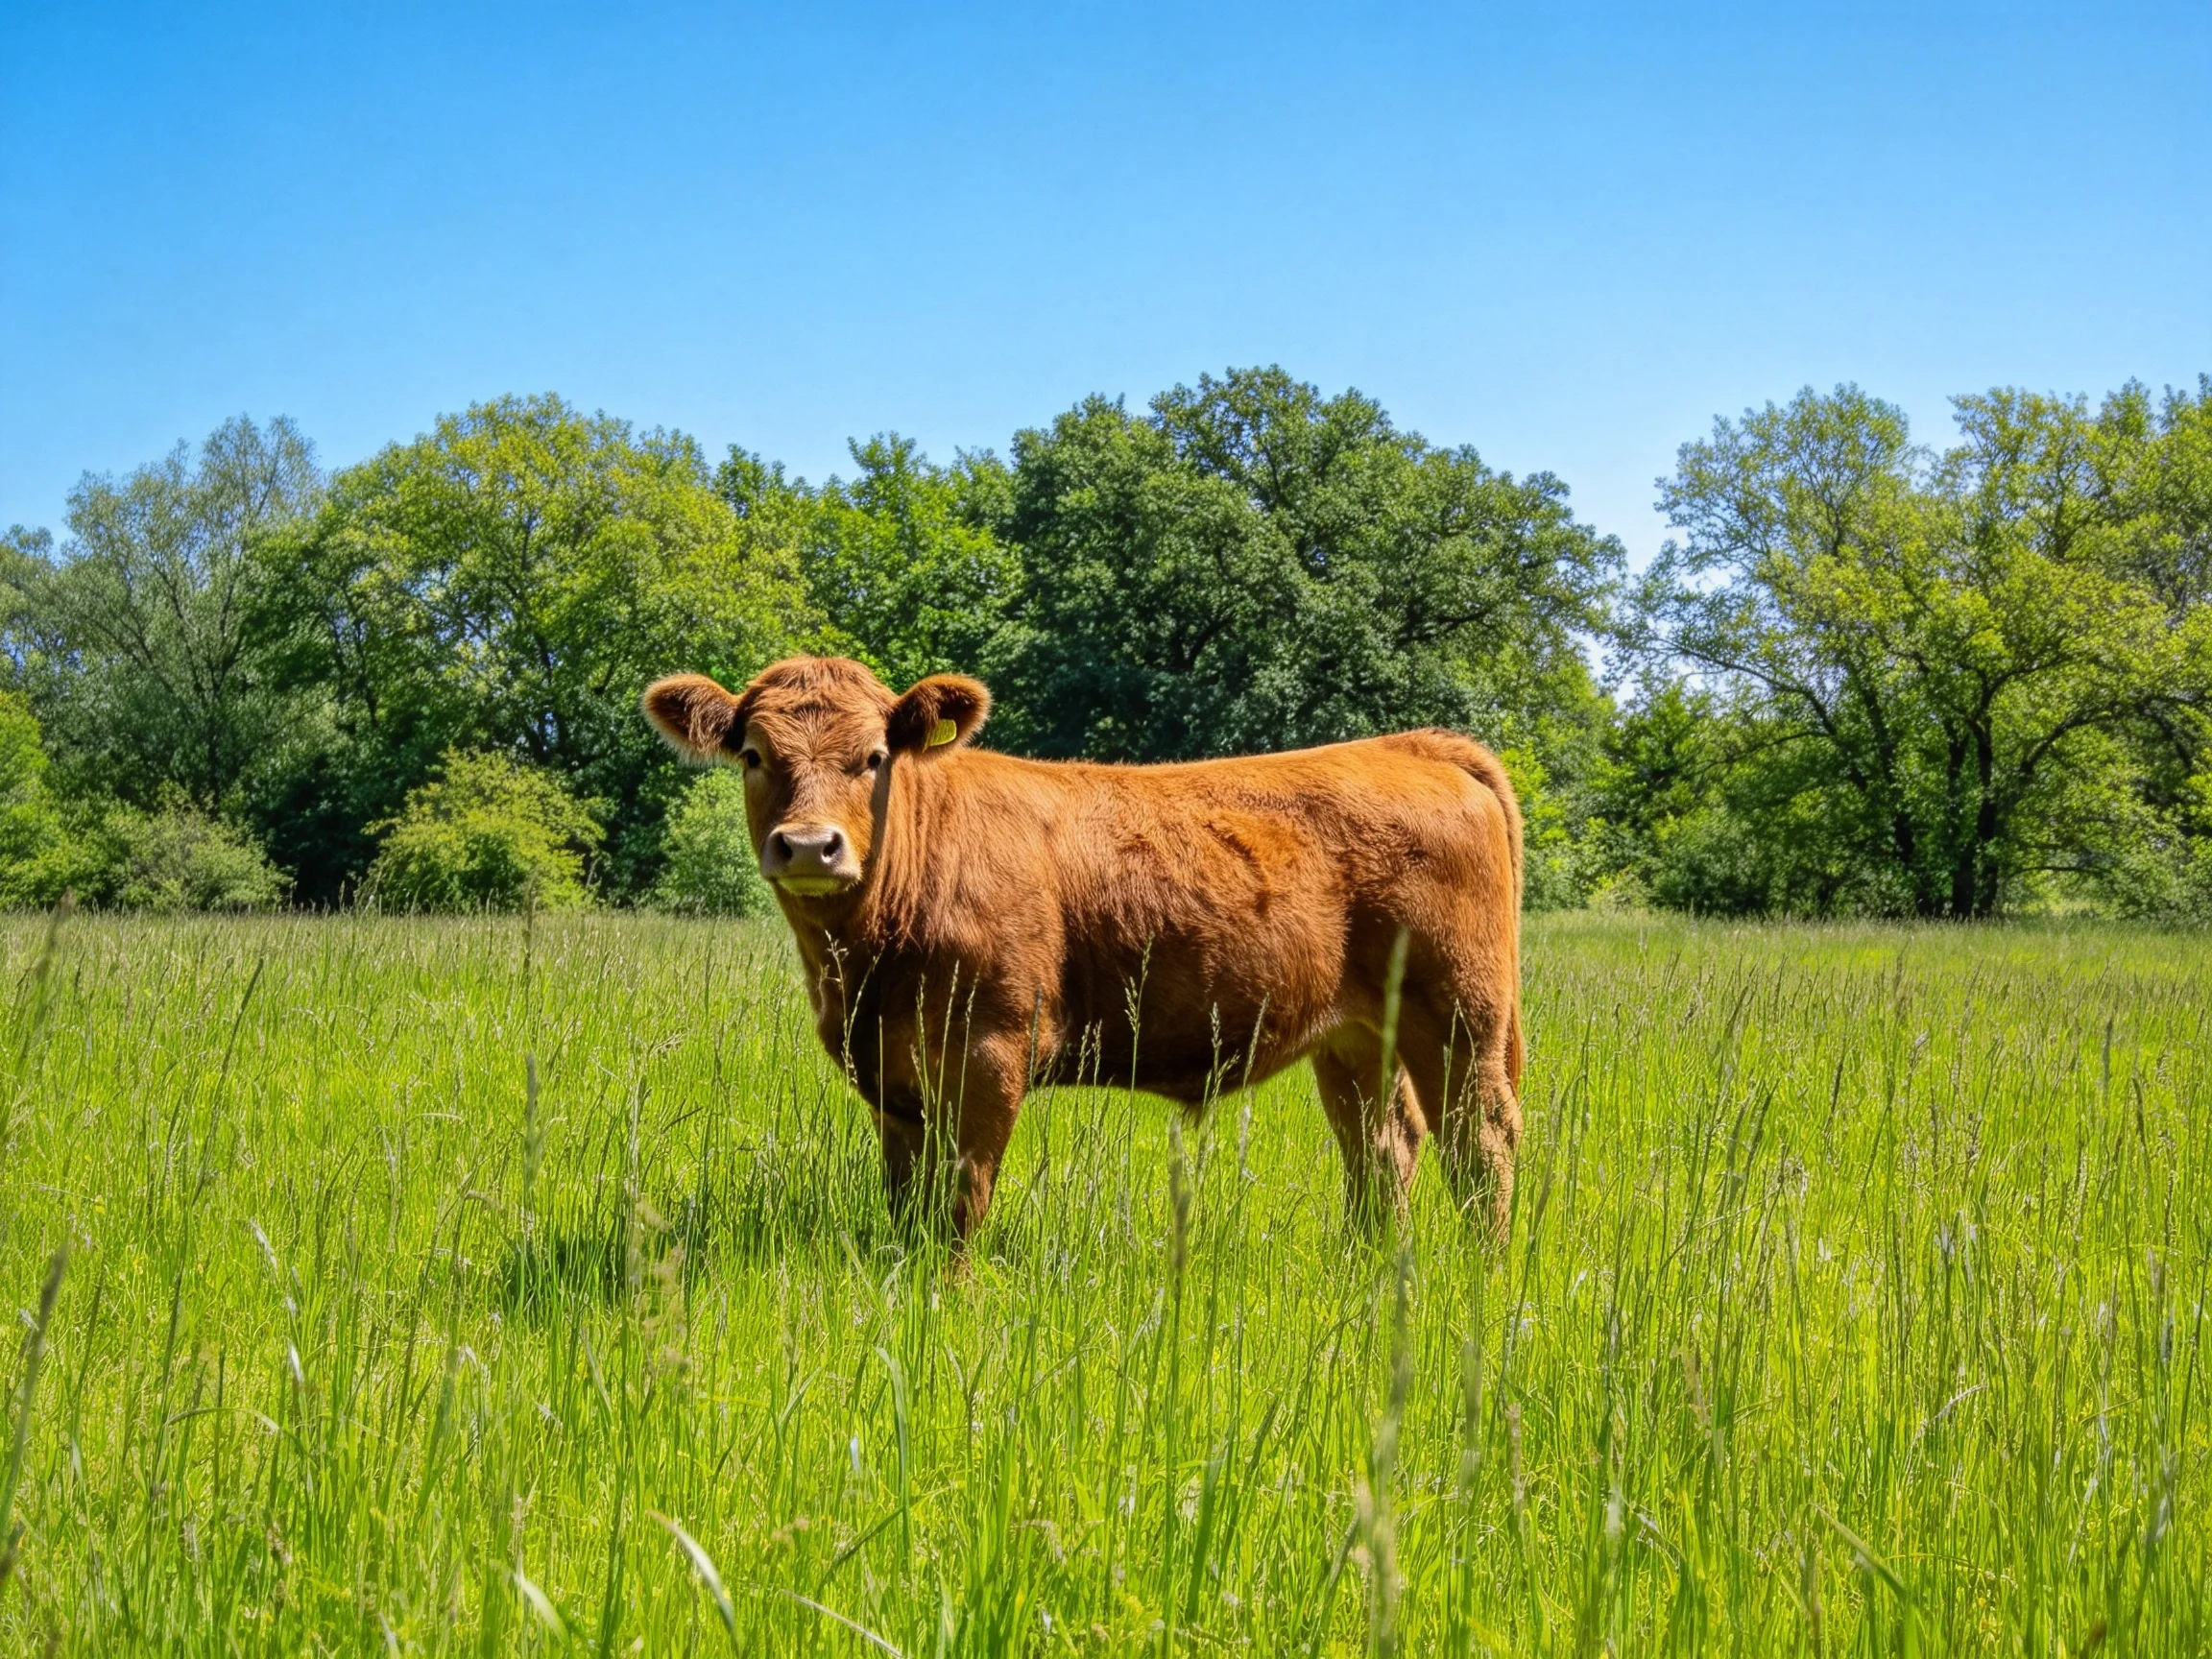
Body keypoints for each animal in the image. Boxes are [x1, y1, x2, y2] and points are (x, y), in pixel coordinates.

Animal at [644, 656, 1524, 1244]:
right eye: (754, 756)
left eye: (874, 758)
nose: (809, 846)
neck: (862, 966)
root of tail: (1407, 747)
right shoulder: (890, 1074)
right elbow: (907, 1202)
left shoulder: (990, 1050)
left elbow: (962, 1198)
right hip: (1355, 1034)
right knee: (1382, 1148)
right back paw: (1370, 1271)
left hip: (1459, 1015)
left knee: (1481, 1145)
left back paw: (1480, 1278)